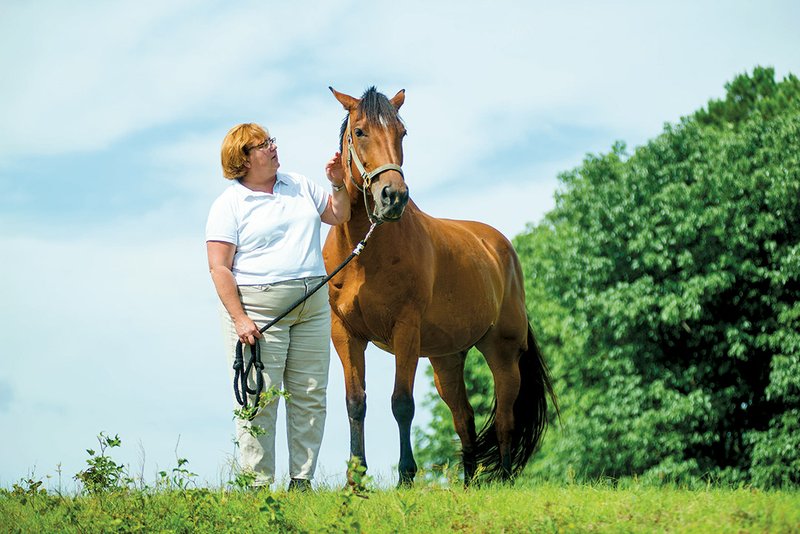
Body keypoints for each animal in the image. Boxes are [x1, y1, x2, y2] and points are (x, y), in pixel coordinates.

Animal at [320, 86, 556, 488]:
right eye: (360, 131)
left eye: (402, 132)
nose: (392, 196)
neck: (365, 252)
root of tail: (501, 248)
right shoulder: (346, 335)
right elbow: (356, 403)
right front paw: (356, 480)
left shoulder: (406, 332)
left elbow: (401, 403)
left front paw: (406, 477)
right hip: (446, 359)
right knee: (464, 417)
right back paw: (468, 483)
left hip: (501, 351)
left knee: (505, 417)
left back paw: (505, 480)